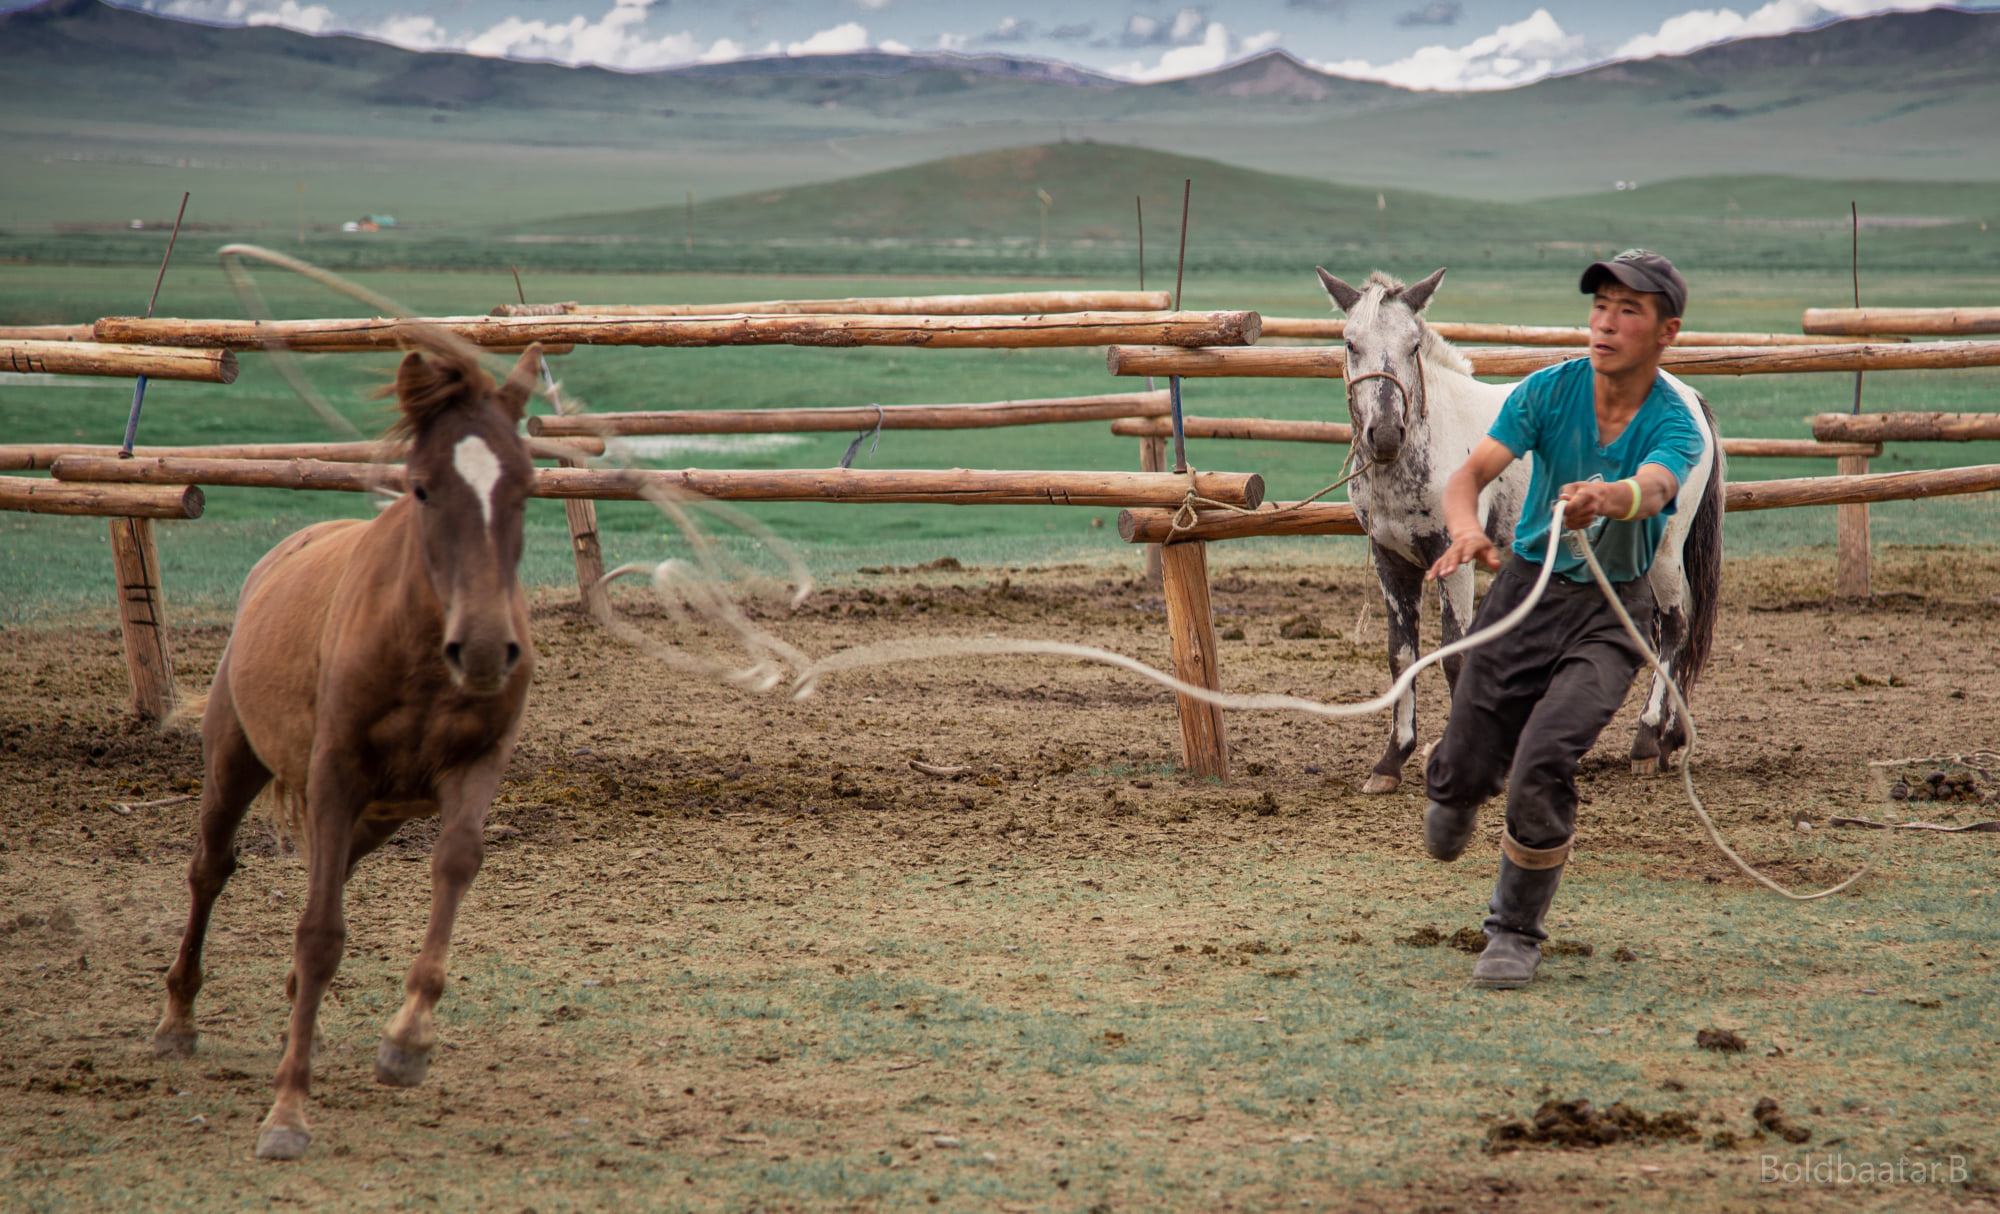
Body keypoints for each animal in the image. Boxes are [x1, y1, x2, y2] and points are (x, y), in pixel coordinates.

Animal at [152, 338, 542, 1162]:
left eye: (526, 486)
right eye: (422, 489)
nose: (484, 649)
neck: (420, 644)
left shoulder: (474, 765)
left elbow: (454, 864)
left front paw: (407, 1043)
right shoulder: (335, 775)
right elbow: (321, 933)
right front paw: (287, 1114)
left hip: (381, 814)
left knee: (325, 878)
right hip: (236, 765)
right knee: (211, 870)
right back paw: (177, 1022)